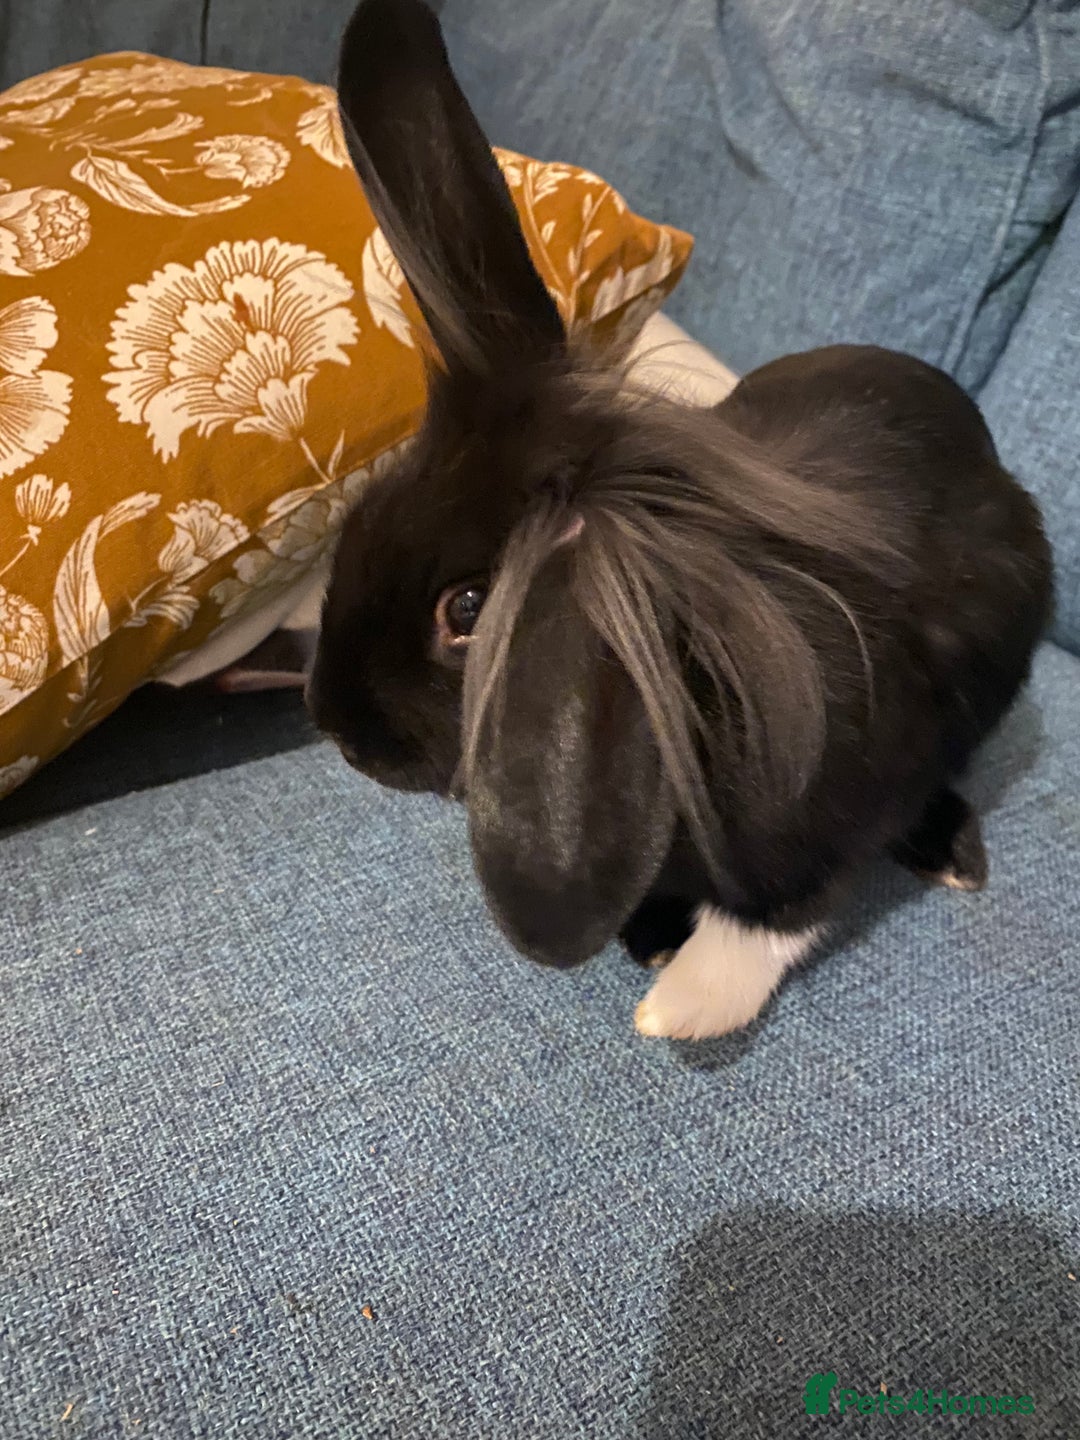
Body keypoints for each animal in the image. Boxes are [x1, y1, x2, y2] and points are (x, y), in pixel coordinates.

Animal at [307, 0, 1054, 1040]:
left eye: (467, 611)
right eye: (363, 517)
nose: (338, 730)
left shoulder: (831, 808)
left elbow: (776, 919)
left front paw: (680, 1007)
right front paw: (654, 937)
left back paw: (953, 856)